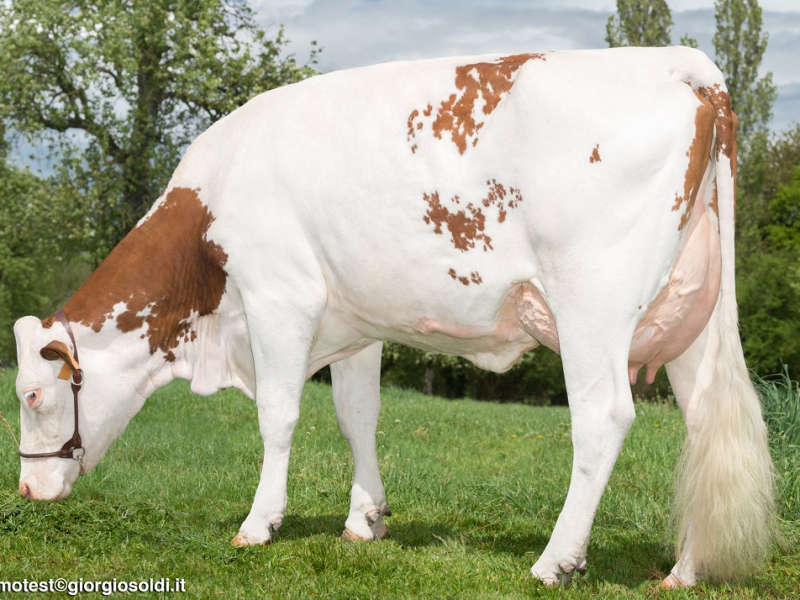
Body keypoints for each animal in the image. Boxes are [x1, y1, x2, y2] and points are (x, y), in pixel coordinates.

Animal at [13, 46, 773, 588]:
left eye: (32, 395)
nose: (25, 487)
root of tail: (680, 62)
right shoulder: (356, 325)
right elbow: (358, 416)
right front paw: (364, 519)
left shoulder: (280, 298)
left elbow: (278, 416)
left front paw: (259, 524)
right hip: (690, 316)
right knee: (703, 426)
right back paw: (684, 571)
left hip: (593, 303)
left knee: (603, 417)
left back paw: (555, 561)